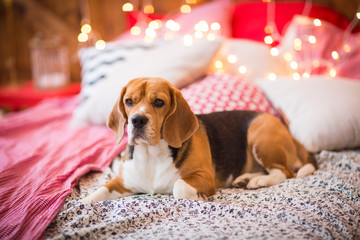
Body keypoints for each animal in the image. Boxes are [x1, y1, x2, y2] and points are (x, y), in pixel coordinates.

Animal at [81, 77, 316, 202]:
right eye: (129, 101)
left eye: (159, 102)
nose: (137, 120)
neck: (151, 155)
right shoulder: (122, 182)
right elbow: (98, 192)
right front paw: (84, 203)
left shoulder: (204, 177)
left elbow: (179, 187)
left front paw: (198, 198)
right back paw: (246, 178)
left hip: (259, 136)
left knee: (284, 172)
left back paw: (260, 180)